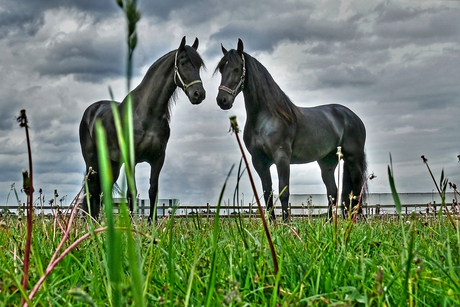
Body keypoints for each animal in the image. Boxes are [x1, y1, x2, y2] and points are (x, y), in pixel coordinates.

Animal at [80, 37, 206, 223]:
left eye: (198, 66)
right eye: (183, 62)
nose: (199, 94)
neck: (146, 112)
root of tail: (90, 111)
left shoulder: (158, 158)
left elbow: (153, 190)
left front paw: (151, 223)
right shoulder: (130, 159)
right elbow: (131, 192)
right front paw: (132, 224)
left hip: (113, 164)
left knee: (103, 191)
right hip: (92, 162)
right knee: (91, 189)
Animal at [216, 39, 366, 221]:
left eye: (237, 68)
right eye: (221, 69)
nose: (222, 100)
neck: (266, 117)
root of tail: (353, 116)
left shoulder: (282, 157)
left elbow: (284, 192)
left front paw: (286, 223)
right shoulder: (259, 161)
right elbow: (267, 194)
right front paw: (272, 224)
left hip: (353, 158)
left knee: (356, 190)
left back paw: (354, 221)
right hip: (327, 163)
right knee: (333, 192)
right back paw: (329, 222)